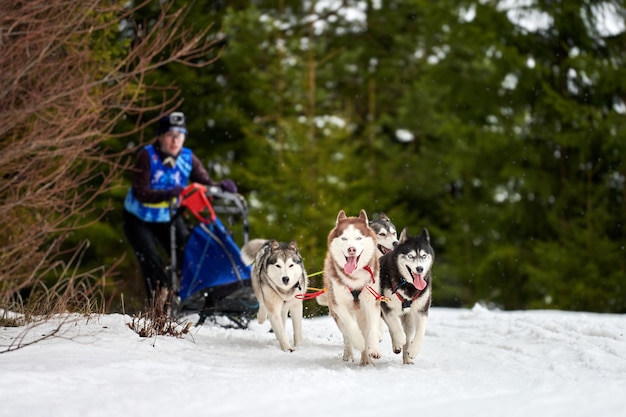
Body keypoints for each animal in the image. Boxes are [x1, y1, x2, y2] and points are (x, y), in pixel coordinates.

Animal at [322, 210, 380, 362]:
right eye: (344, 239)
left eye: (359, 238)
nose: (351, 249)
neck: (354, 279)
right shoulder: (338, 304)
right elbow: (350, 325)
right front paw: (359, 341)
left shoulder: (371, 301)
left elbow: (373, 328)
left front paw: (374, 349)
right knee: (346, 334)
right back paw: (349, 353)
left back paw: (366, 360)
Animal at [378, 226, 432, 362]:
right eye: (410, 256)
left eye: (424, 256)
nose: (420, 269)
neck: (407, 284)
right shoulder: (387, 307)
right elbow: (394, 325)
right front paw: (399, 339)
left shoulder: (421, 310)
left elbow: (421, 331)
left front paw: (413, 350)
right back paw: (398, 343)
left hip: (409, 318)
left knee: (408, 336)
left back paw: (407, 358)